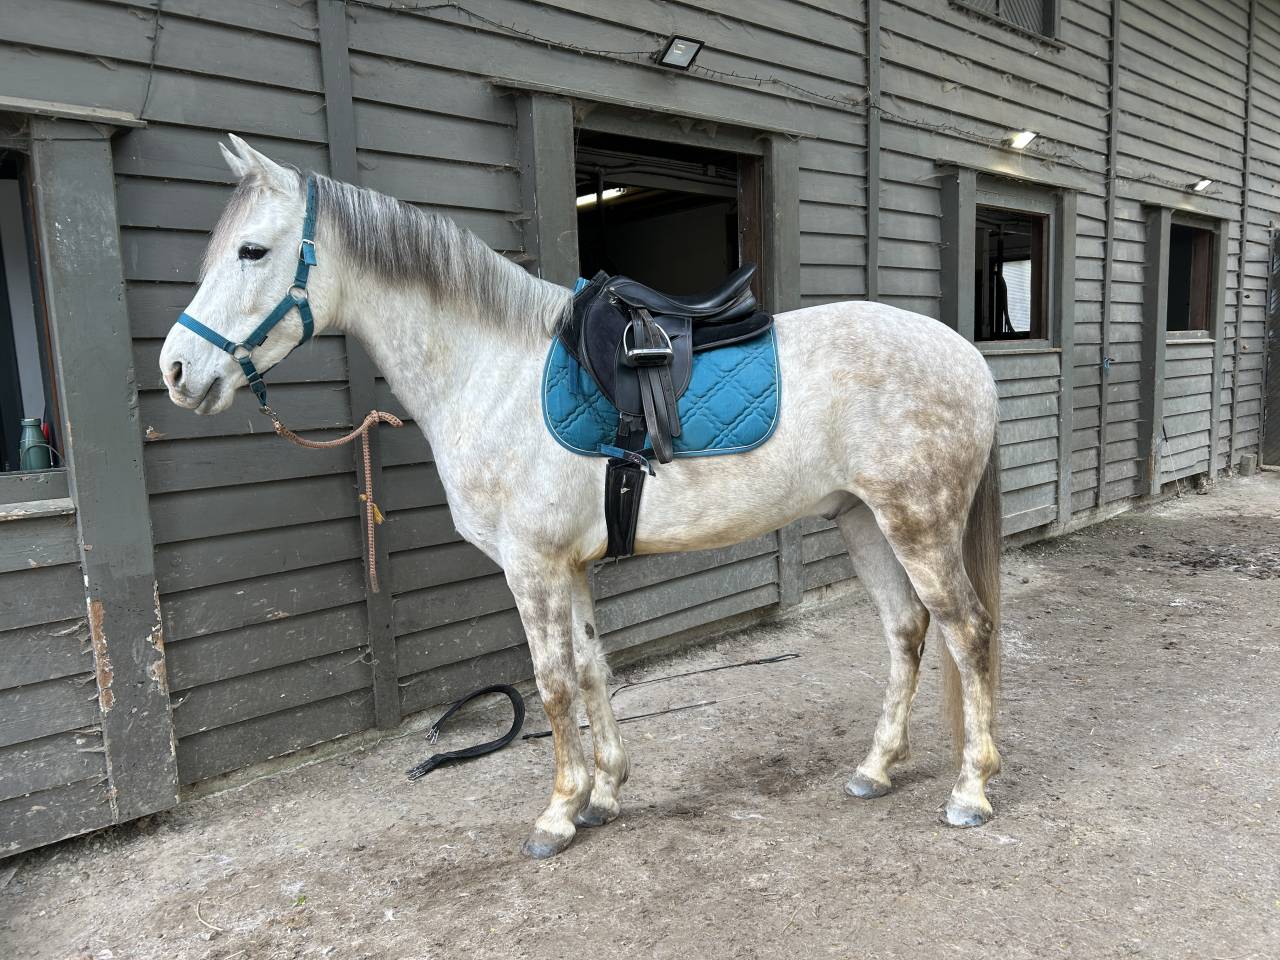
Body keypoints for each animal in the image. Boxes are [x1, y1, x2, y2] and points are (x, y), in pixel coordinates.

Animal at [159, 135, 1003, 859]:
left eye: (253, 250)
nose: (176, 370)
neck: (490, 369)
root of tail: (963, 353)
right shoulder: (568, 565)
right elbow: (595, 667)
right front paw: (605, 792)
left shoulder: (530, 566)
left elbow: (553, 682)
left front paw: (558, 813)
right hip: (864, 519)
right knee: (906, 630)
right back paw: (877, 767)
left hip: (918, 524)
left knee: (968, 632)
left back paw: (970, 790)